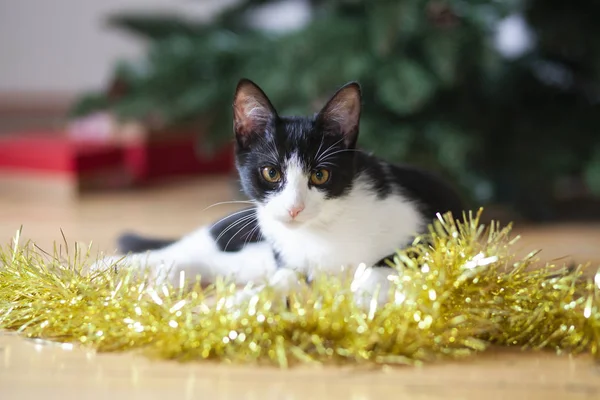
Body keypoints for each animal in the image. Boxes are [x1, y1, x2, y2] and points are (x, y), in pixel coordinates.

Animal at [92, 79, 464, 306]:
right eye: (271, 173)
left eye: (320, 174)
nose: (294, 208)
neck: (322, 232)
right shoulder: (286, 257)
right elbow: (287, 279)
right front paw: (244, 304)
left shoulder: (431, 225)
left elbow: (388, 264)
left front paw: (361, 296)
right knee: (190, 248)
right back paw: (117, 267)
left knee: (214, 263)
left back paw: (171, 275)